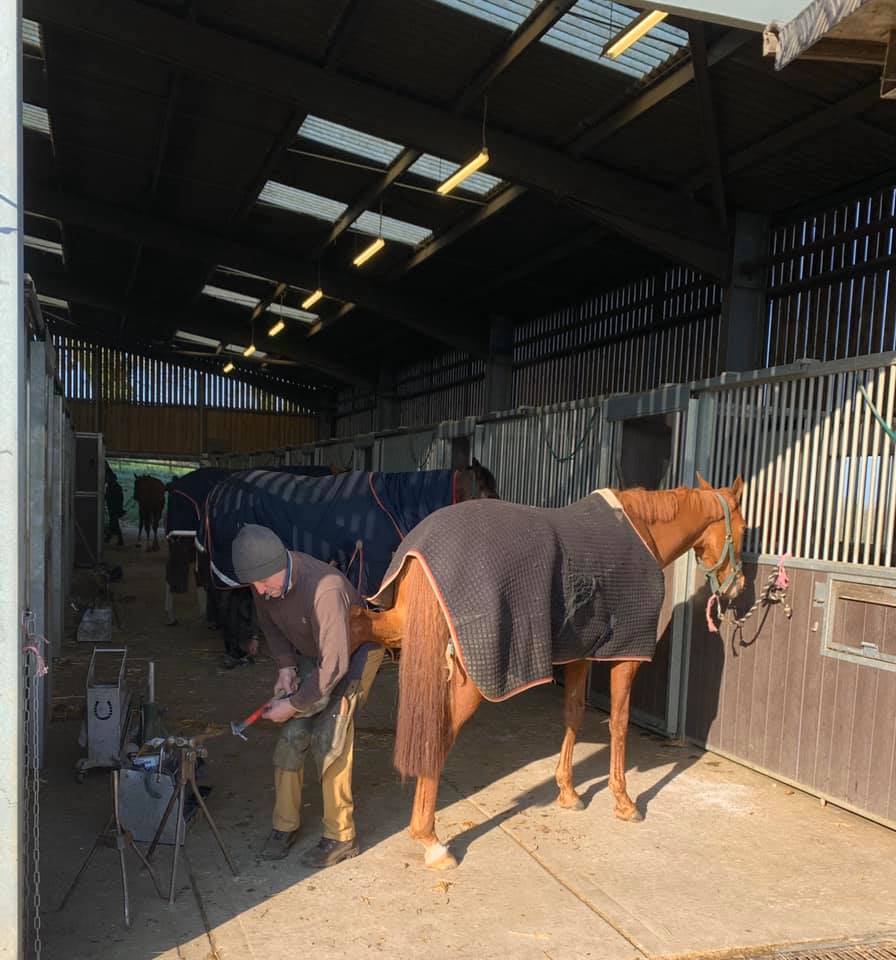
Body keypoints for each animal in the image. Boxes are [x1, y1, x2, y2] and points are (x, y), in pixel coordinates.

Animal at [354, 476, 744, 872]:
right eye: (744, 529)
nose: (738, 584)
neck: (642, 531)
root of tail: (421, 549)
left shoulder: (580, 653)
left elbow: (574, 714)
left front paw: (568, 793)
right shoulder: (627, 654)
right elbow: (619, 723)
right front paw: (624, 801)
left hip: (402, 625)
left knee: (360, 624)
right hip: (470, 675)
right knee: (438, 736)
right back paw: (431, 841)